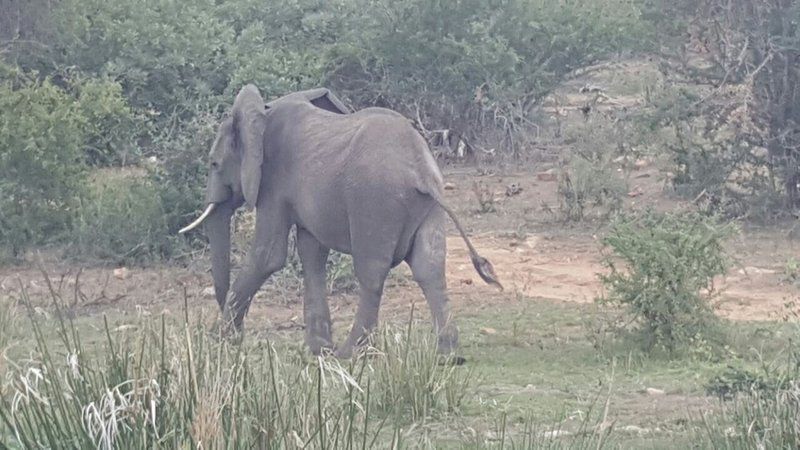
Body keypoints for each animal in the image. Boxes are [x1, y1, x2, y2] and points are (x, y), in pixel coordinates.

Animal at [181, 84, 500, 358]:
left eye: (213, 163)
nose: (238, 336)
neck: (262, 112)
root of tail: (420, 168)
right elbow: (312, 253)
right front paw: (318, 349)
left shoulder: (272, 183)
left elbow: (268, 256)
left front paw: (218, 340)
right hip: (427, 206)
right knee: (429, 267)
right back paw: (448, 356)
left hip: (375, 201)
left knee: (371, 272)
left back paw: (351, 353)